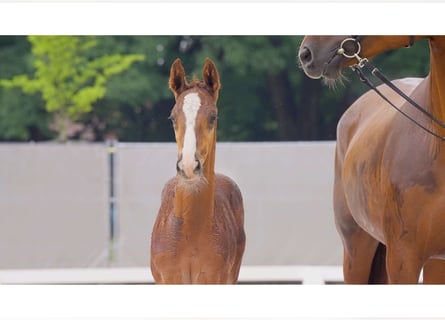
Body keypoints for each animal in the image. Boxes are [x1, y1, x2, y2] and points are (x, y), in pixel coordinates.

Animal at [151, 58, 245, 284]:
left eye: (213, 117)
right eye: (172, 117)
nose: (188, 166)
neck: (189, 231)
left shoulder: (212, 278)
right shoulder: (170, 278)